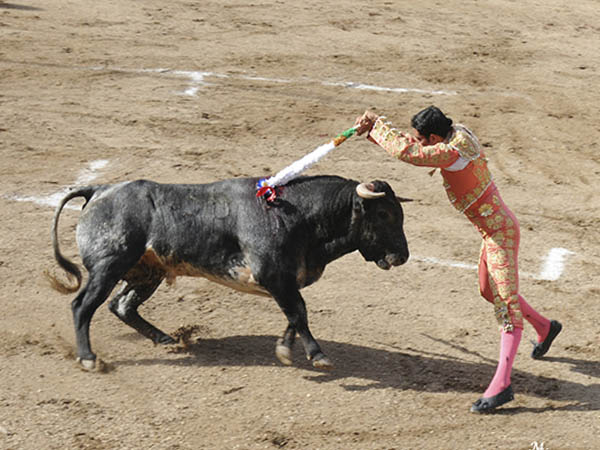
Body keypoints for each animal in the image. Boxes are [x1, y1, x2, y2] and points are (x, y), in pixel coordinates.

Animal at [49, 176, 410, 370]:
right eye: (384, 214)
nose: (403, 256)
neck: (297, 215)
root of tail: (100, 189)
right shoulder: (273, 276)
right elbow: (299, 312)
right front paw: (318, 355)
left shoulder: (285, 281)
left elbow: (294, 315)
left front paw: (284, 350)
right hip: (108, 267)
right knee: (83, 306)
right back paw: (88, 358)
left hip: (147, 273)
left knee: (122, 305)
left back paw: (165, 339)